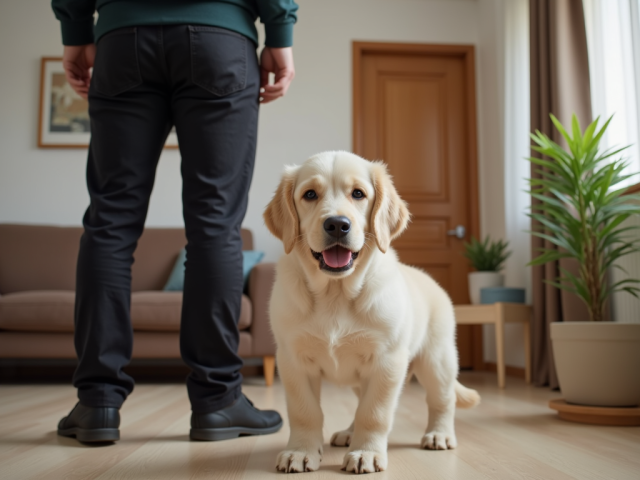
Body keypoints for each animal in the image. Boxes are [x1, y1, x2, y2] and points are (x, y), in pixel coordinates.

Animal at [262, 152, 478, 474]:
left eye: (358, 194)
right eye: (310, 194)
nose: (337, 224)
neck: (336, 293)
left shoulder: (386, 361)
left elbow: (373, 412)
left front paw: (366, 453)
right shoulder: (292, 359)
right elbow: (304, 411)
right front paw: (300, 451)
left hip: (436, 359)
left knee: (443, 398)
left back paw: (439, 434)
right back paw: (348, 433)